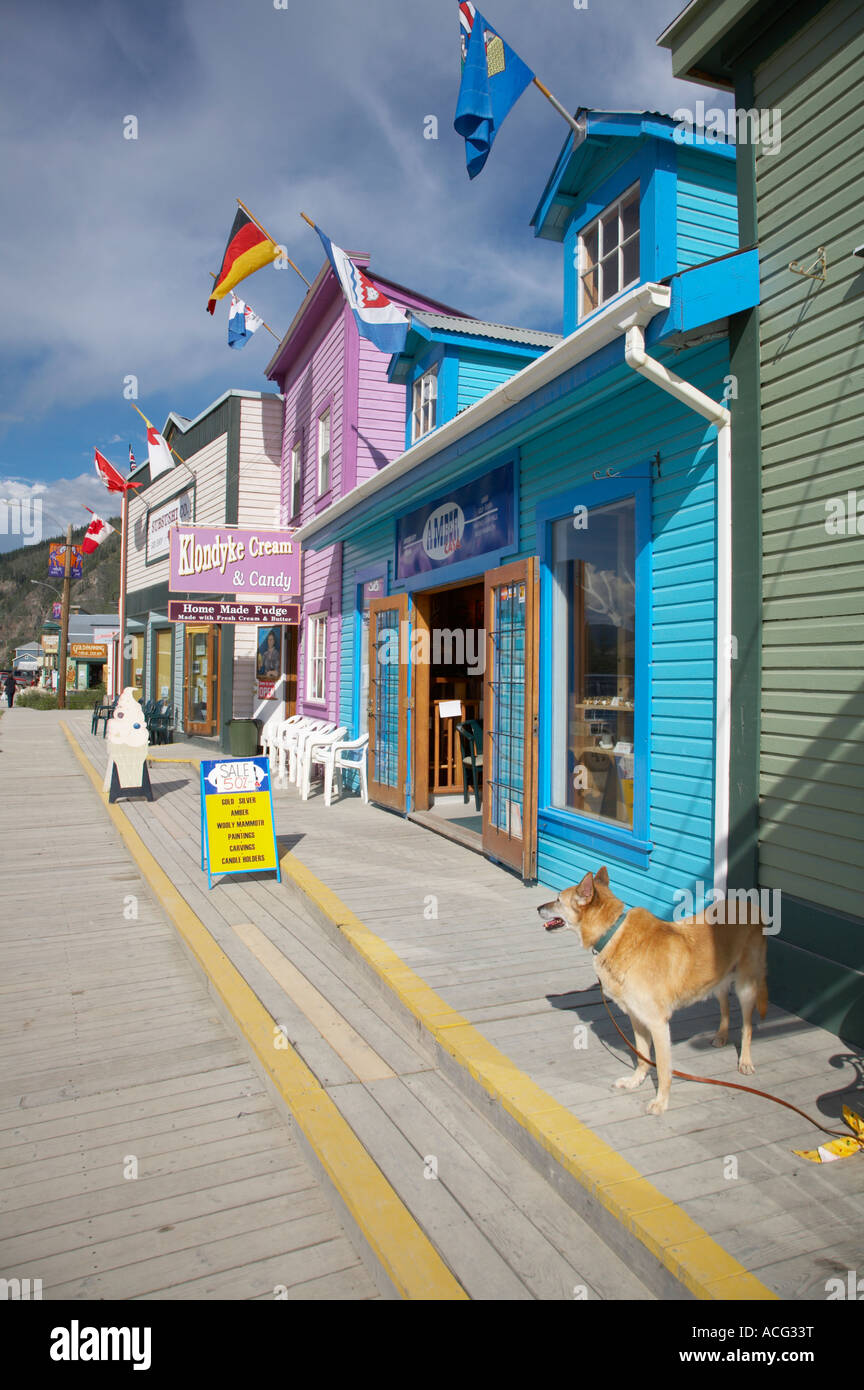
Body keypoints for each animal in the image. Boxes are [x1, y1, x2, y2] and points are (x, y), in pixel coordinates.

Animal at [538, 867, 766, 1117]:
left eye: (558, 900)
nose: (538, 908)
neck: (612, 934)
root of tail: (750, 907)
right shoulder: (637, 1018)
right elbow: (643, 1057)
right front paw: (635, 1081)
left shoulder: (658, 1024)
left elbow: (664, 1068)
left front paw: (661, 1102)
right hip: (719, 981)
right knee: (725, 1006)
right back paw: (722, 1036)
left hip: (745, 986)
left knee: (747, 1026)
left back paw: (745, 1061)